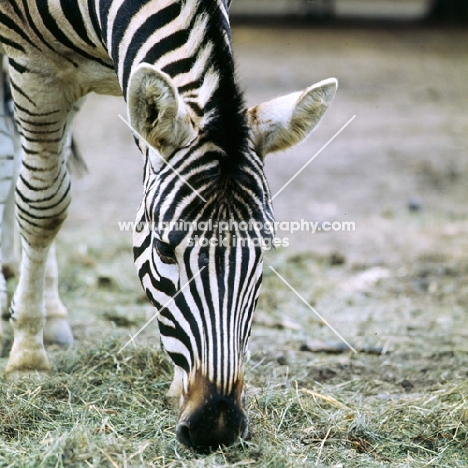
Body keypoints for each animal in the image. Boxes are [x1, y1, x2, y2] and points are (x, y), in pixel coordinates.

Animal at [0, 0, 336, 450]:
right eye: (162, 249)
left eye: (264, 249)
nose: (217, 424)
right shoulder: (37, 70)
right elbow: (43, 207)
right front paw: (27, 358)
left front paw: (178, 385)